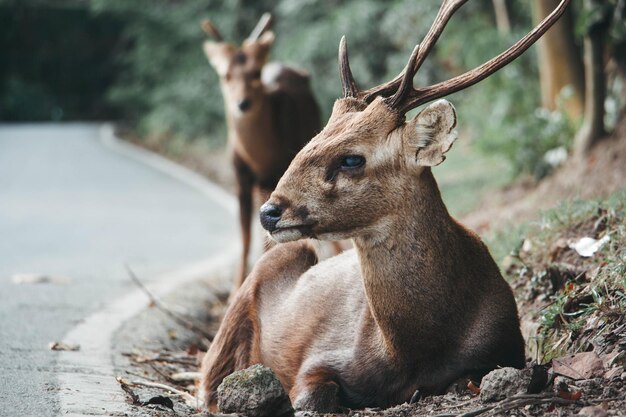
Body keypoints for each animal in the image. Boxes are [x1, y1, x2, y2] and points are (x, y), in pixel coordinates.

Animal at [202, 14, 322, 290]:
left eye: (255, 72)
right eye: (225, 75)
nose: (242, 103)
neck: (261, 159)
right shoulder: (241, 178)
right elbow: (246, 237)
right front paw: (236, 288)